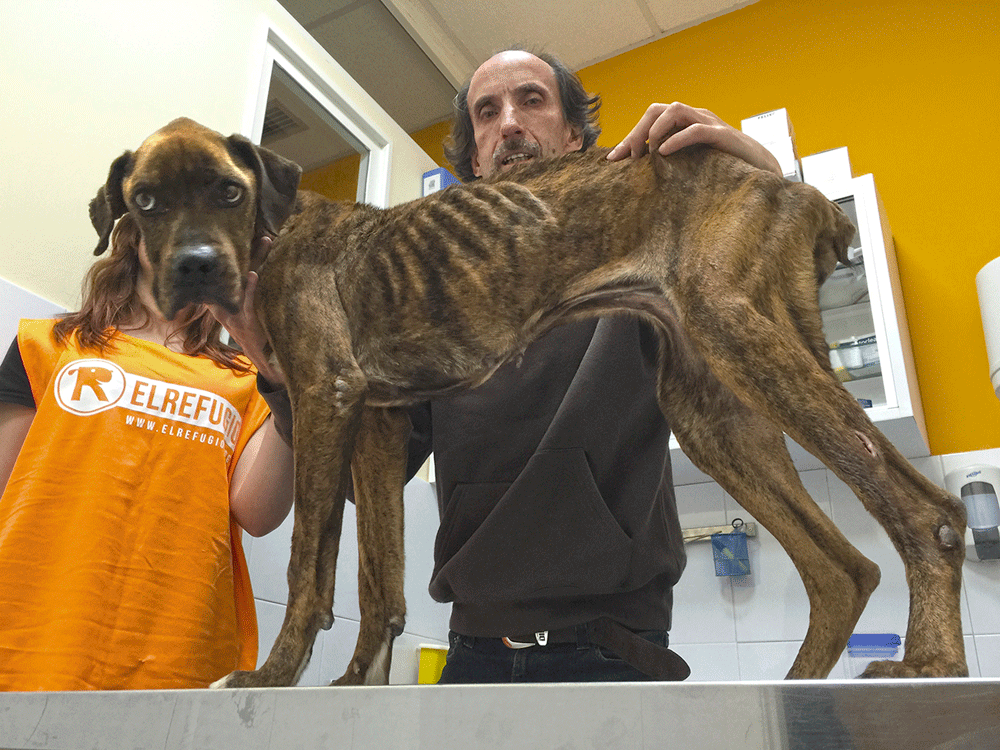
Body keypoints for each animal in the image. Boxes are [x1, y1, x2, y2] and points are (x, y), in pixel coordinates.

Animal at [90, 117, 964, 688]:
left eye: (228, 192)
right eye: (146, 202)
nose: (195, 269)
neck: (272, 234)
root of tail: (788, 185)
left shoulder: (325, 397)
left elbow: (312, 566)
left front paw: (271, 677)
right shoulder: (376, 424)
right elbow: (379, 581)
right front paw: (354, 686)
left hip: (735, 330)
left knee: (927, 514)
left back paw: (931, 664)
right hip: (710, 410)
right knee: (844, 569)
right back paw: (801, 680)